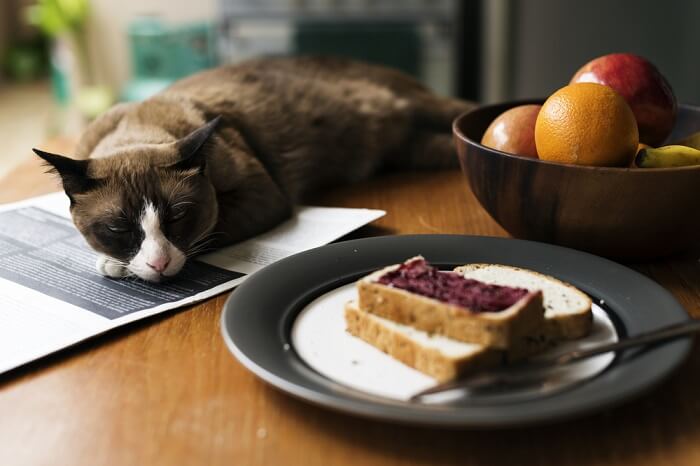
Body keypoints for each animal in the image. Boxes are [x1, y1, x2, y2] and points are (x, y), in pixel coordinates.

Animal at [34, 54, 476, 280]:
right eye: (117, 228)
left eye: (177, 217)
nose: (158, 264)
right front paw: (118, 262)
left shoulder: (262, 196)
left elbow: (211, 232)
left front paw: (117, 265)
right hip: (416, 150)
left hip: (424, 107)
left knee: (465, 113)